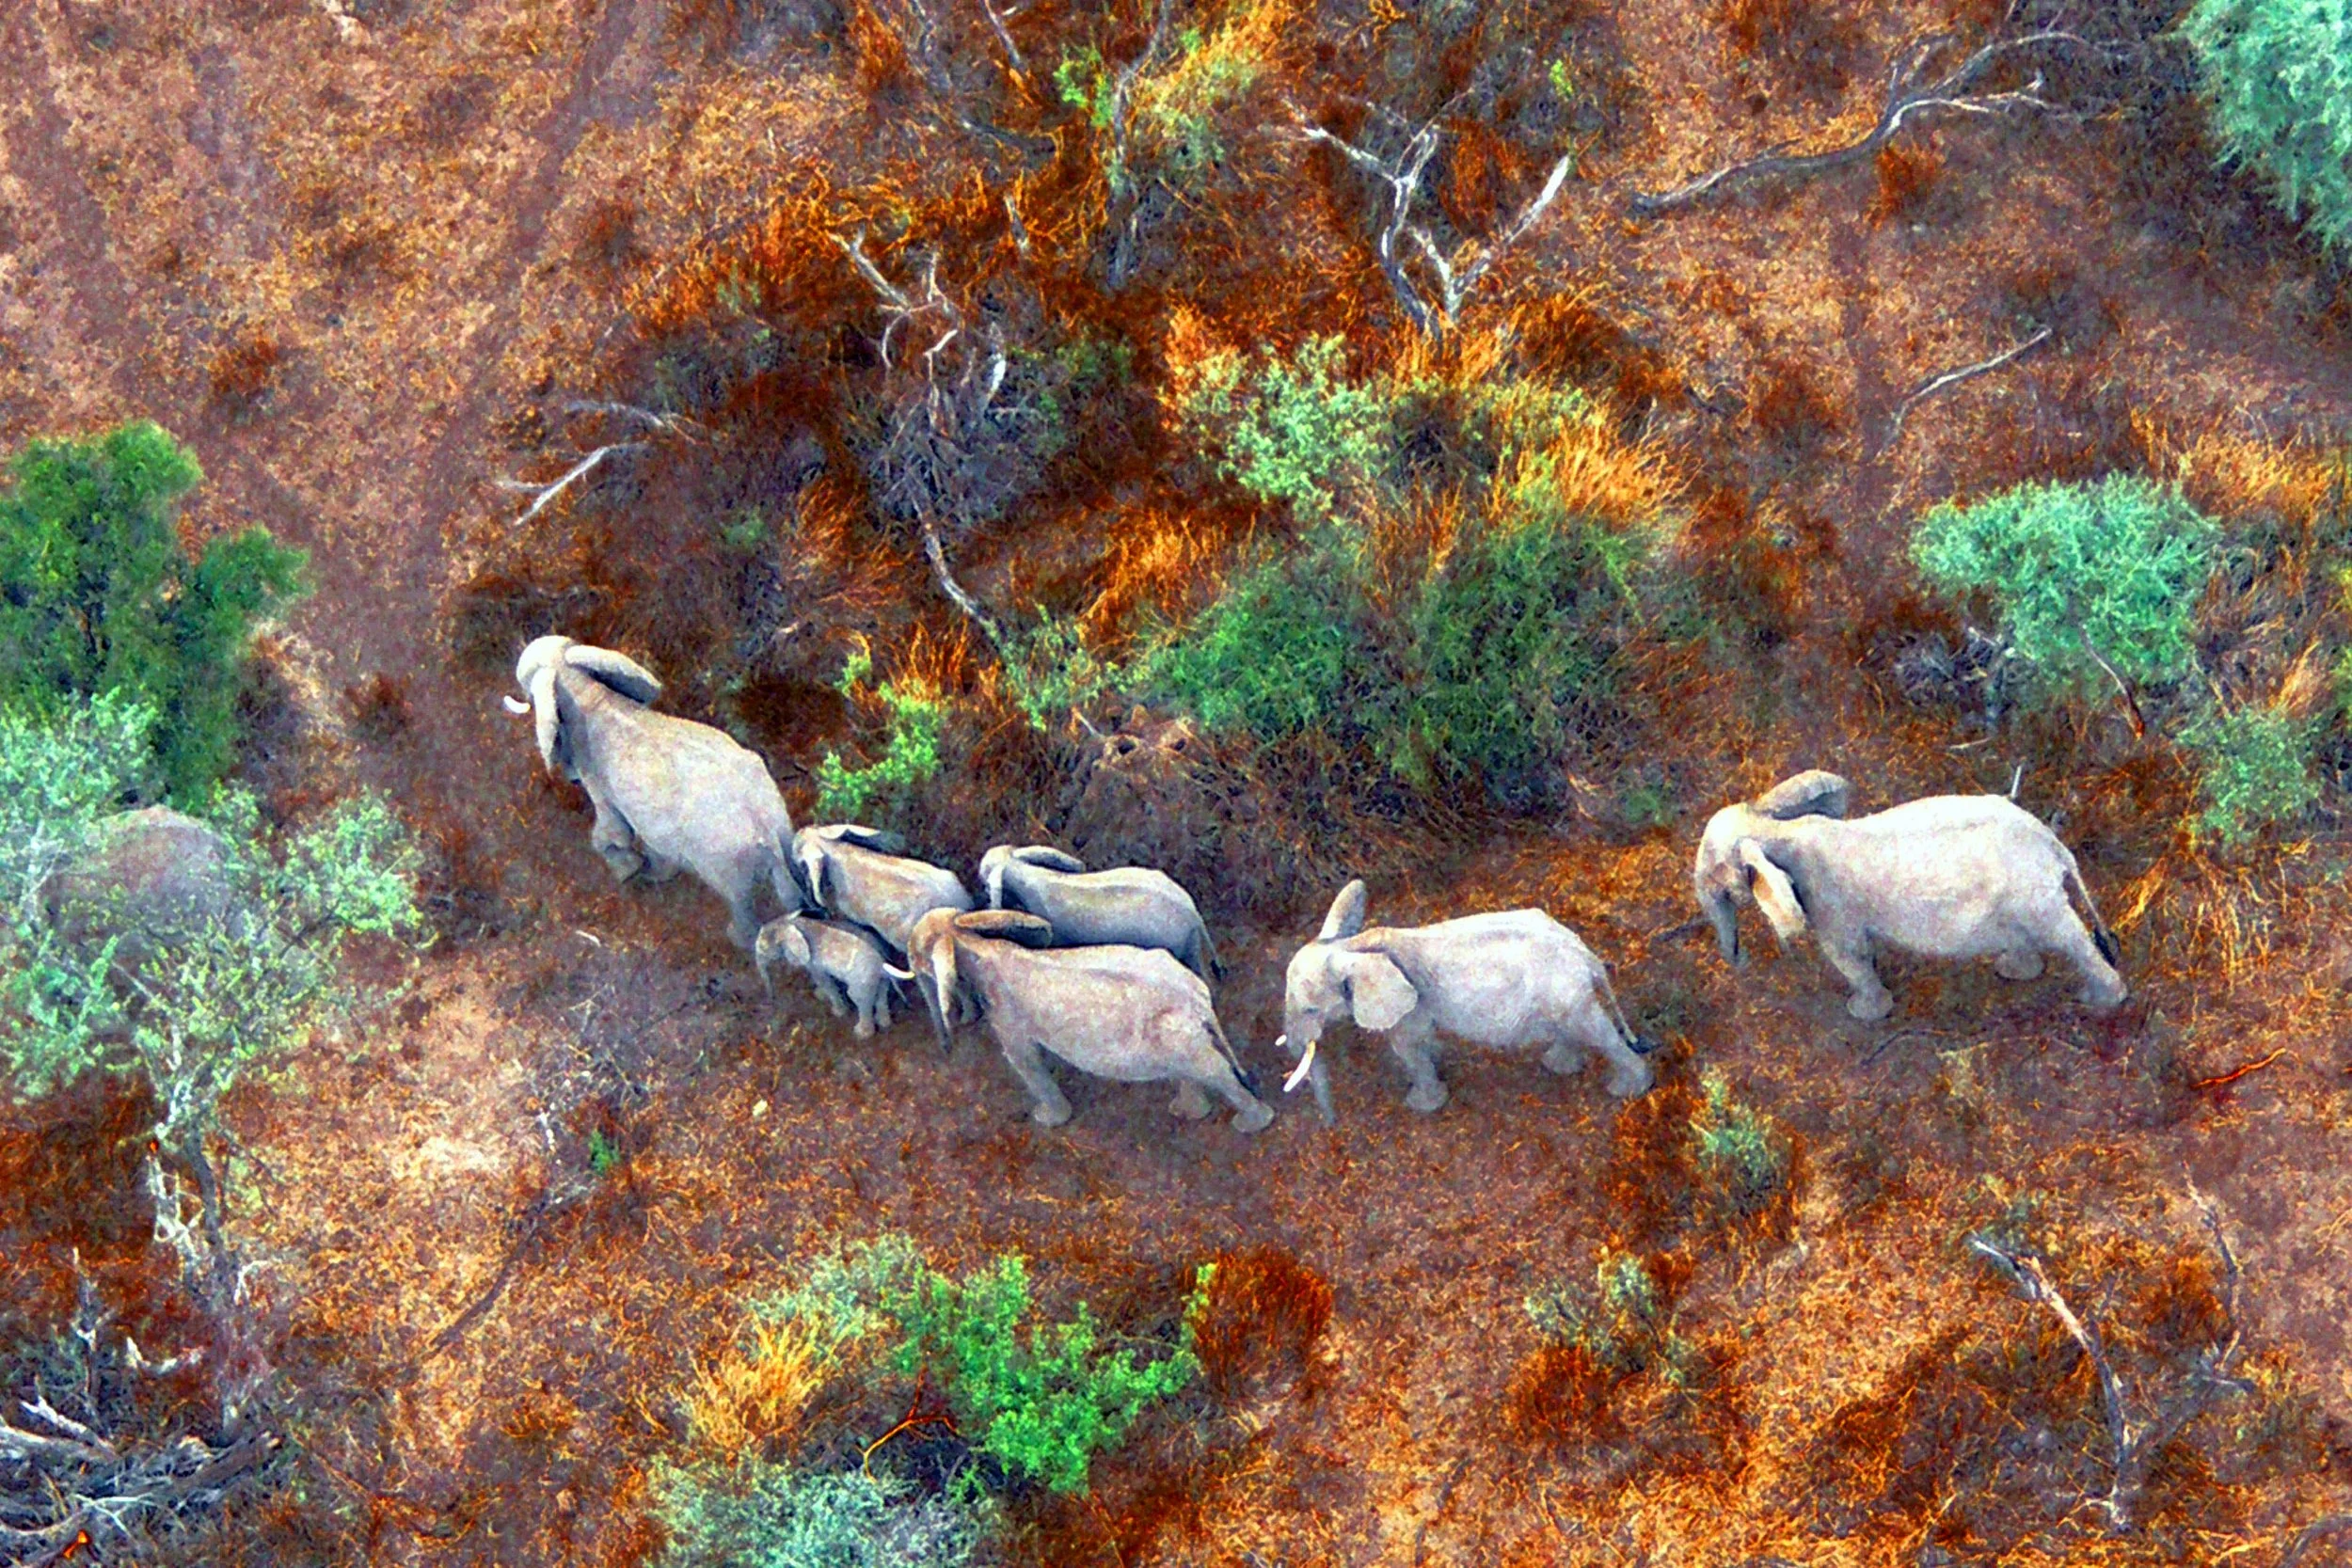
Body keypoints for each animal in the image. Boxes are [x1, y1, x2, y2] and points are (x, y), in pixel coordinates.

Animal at [503, 635, 801, 949]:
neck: (585, 689)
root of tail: (766, 828)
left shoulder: (597, 778)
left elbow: (614, 830)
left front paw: (628, 871)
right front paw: (652, 872)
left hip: (725, 857)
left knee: (738, 898)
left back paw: (735, 938)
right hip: (780, 825)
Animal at [754, 912, 903, 1038]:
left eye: (763, 948)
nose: (771, 999)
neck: (793, 923)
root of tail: (881, 962)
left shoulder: (814, 961)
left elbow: (824, 980)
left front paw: (837, 1011)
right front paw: (821, 995)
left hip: (861, 980)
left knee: (859, 997)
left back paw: (861, 1034)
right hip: (879, 978)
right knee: (882, 993)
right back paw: (884, 1023)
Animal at [899, 907, 1274, 1132]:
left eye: (917, 957)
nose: (947, 1047)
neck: (970, 939)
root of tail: (1199, 998)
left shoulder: (1005, 1010)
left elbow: (1022, 1057)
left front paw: (1046, 1121)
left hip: (1178, 1033)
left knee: (1212, 1070)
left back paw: (1250, 1124)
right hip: (1180, 1035)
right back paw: (1186, 1112)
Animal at [1278, 880, 1652, 1122]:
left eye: (1311, 1009)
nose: (1331, 1125)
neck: (1350, 946)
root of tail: (1586, 954)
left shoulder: (1407, 1004)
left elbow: (1406, 1045)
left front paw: (1421, 1105)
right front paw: (1439, 1064)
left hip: (1567, 993)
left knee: (1596, 1032)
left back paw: (1627, 1091)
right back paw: (1558, 1066)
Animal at [1692, 769, 2126, 1020]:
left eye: (1713, 874)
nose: (1740, 960)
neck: (1774, 830)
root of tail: (2053, 843)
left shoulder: (1828, 902)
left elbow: (1849, 956)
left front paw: (1862, 1013)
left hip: (2036, 897)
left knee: (2069, 937)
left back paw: (2100, 1001)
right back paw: (2013, 970)